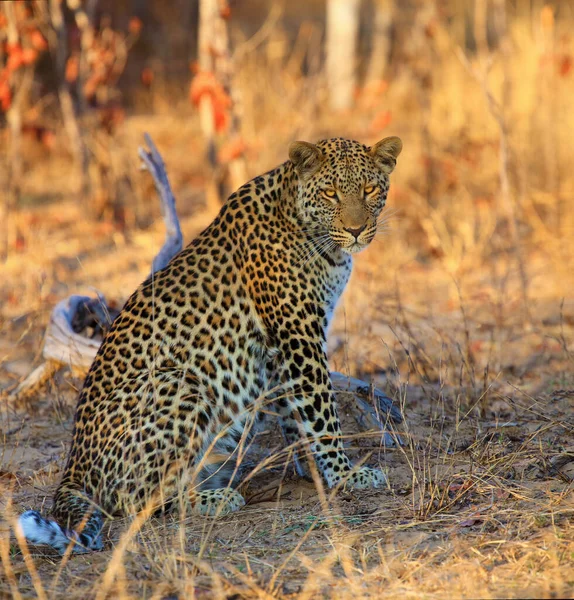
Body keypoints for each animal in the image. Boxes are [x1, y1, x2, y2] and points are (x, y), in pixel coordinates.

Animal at [19, 135, 404, 552]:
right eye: (331, 193)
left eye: (369, 190)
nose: (356, 230)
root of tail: (72, 465)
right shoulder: (298, 333)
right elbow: (321, 413)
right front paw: (345, 474)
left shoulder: (283, 348)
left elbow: (295, 412)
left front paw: (313, 470)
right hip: (181, 382)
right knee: (141, 500)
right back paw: (214, 498)